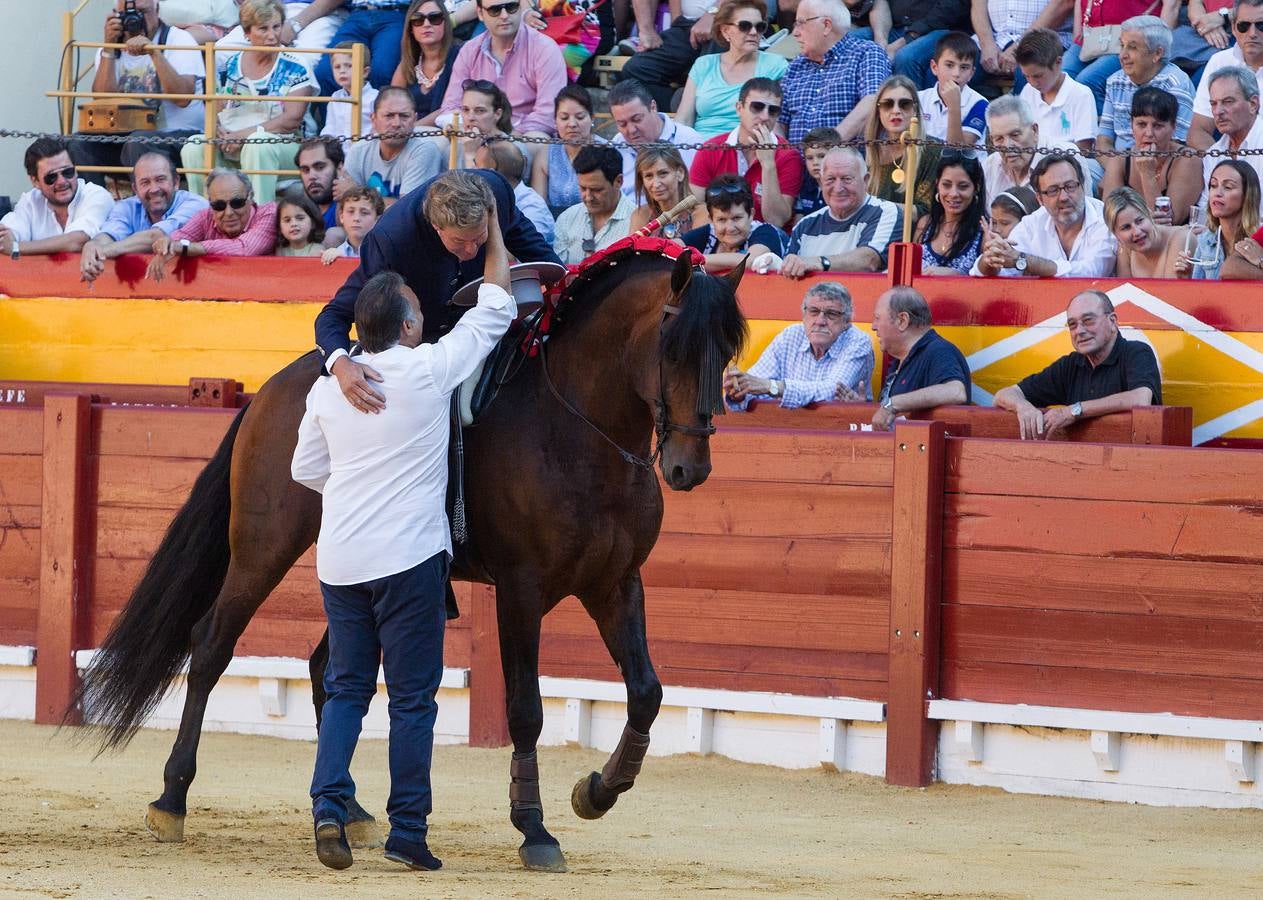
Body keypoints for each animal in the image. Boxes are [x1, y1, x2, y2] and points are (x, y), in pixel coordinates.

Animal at [73, 247, 742, 868]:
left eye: (728, 353)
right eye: (674, 349)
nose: (690, 468)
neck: (581, 428)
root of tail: (276, 386)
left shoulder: (616, 582)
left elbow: (647, 691)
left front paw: (595, 792)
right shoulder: (521, 590)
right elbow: (525, 709)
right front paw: (535, 829)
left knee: (326, 668)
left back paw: (350, 812)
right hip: (264, 546)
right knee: (212, 642)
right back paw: (172, 799)